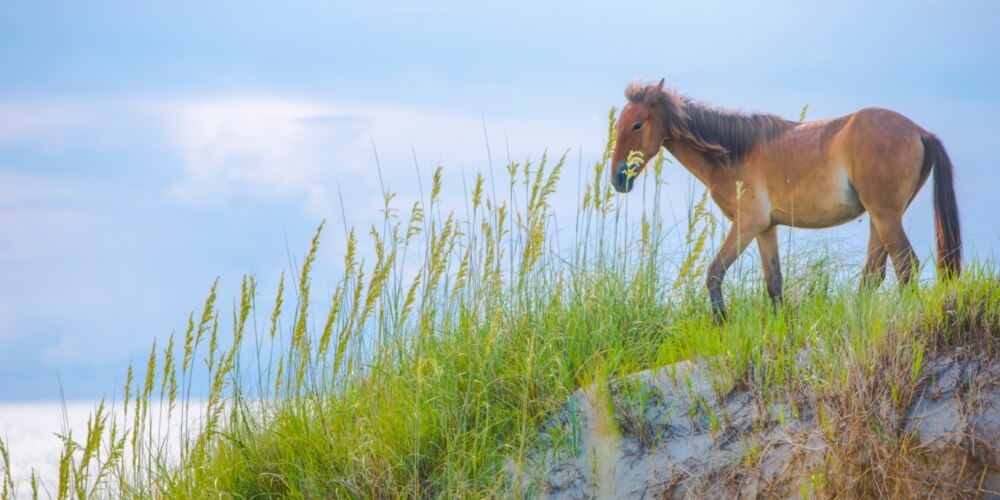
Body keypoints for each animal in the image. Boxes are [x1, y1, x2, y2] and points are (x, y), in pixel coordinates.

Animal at [611, 79, 961, 322]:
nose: (617, 178)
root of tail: (919, 132)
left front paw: (721, 322)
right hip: (880, 217)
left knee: (905, 266)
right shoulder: (766, 228)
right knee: (874, 274)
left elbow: (714, 272)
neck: (733, 152)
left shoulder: (747, 224)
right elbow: (774, 282)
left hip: (885, 216)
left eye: (637, 124)